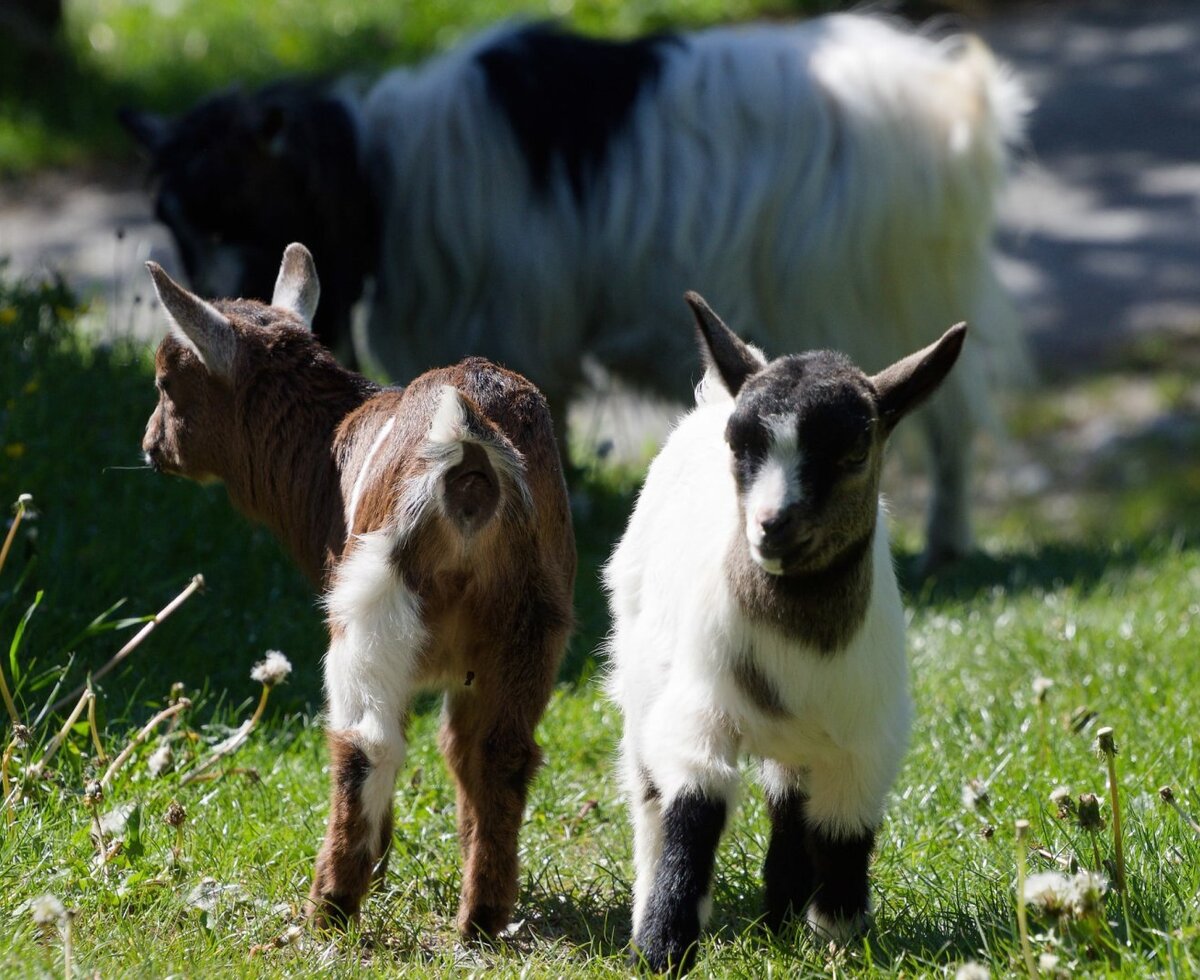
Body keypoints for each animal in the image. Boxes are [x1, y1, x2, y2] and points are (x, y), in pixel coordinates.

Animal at [121, 12, 1027, 570]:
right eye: (170, 219)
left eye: (241, 213)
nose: (213, 319)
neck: (385, 176)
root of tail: (951, 105)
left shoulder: (522, 322)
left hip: (880, 295)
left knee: (945, 424)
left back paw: (944, 544)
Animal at [141, 243, 576, 937]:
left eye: (166, 382)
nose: (151, 446)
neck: (330, 444)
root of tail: (469, 442)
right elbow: (460, 750)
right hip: (535, 613)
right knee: (500, 750)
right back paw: (481, 917)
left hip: (373, 601)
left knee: (366, 742)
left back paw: (329, 907)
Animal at [604, 293, 966, 972]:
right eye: (738, 446)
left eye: (855, 451)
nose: (773, 526)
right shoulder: (698, 713)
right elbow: (693, 812)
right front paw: (663, 950)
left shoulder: (864, 741)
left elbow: (842, 835)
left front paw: (842, 940)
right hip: (640, 667)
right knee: (649, 799)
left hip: (801, 743)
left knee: (790, 803)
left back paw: (780, 920)